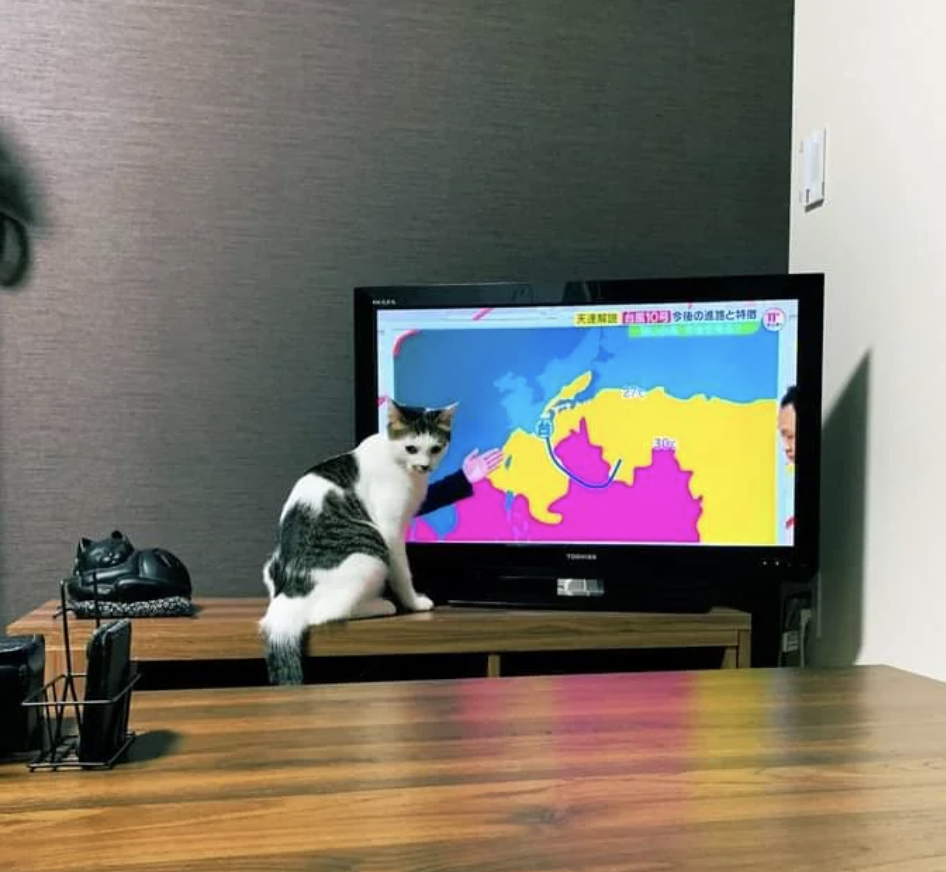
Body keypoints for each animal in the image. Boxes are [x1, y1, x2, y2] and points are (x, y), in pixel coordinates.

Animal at [254, 398, 454, 684]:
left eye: (435, 448)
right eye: (411, 448)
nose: (425, 466)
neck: (394, 459)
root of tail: (289, 592)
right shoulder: (391, 530)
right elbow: (403, 573)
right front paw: (414, 603)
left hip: (269, 565)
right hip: (371, 554)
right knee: (324, 614)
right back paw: (382, 604)